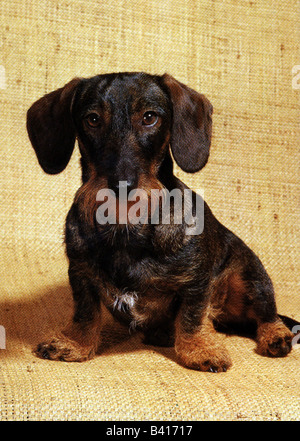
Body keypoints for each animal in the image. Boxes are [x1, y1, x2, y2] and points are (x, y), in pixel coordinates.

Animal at [27, 72, 296, 372]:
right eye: (93, 119)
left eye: (149, 117)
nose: (122, 186)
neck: (126, 230)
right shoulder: (80, 274)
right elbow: (85, 313)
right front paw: (74, 343)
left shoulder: (197, 281)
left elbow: (192, 317)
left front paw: (200, 349)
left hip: (250, 277)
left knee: (267, 315)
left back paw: (276, 336)